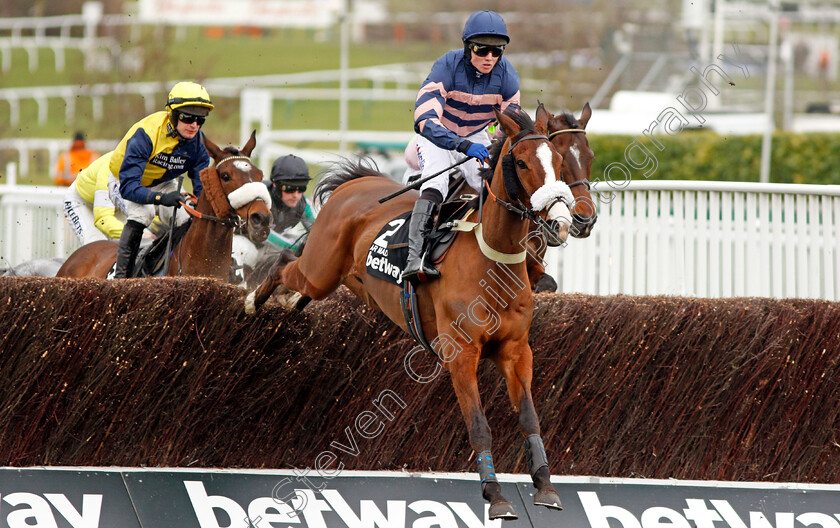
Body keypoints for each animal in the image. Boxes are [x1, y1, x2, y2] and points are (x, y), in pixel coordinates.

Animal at [246, 107, 576, 520]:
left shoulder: (517, 351)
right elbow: (478, 425)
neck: (492, 260)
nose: (561, 221)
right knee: (285, 265)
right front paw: (495, 495)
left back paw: (290, 303)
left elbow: (530, 417)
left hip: (352, 281)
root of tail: (356, 183)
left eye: (560, 162)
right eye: (521, 162)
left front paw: (546, 487)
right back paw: (253, 301)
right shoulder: (461, 353)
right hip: (320, 271)